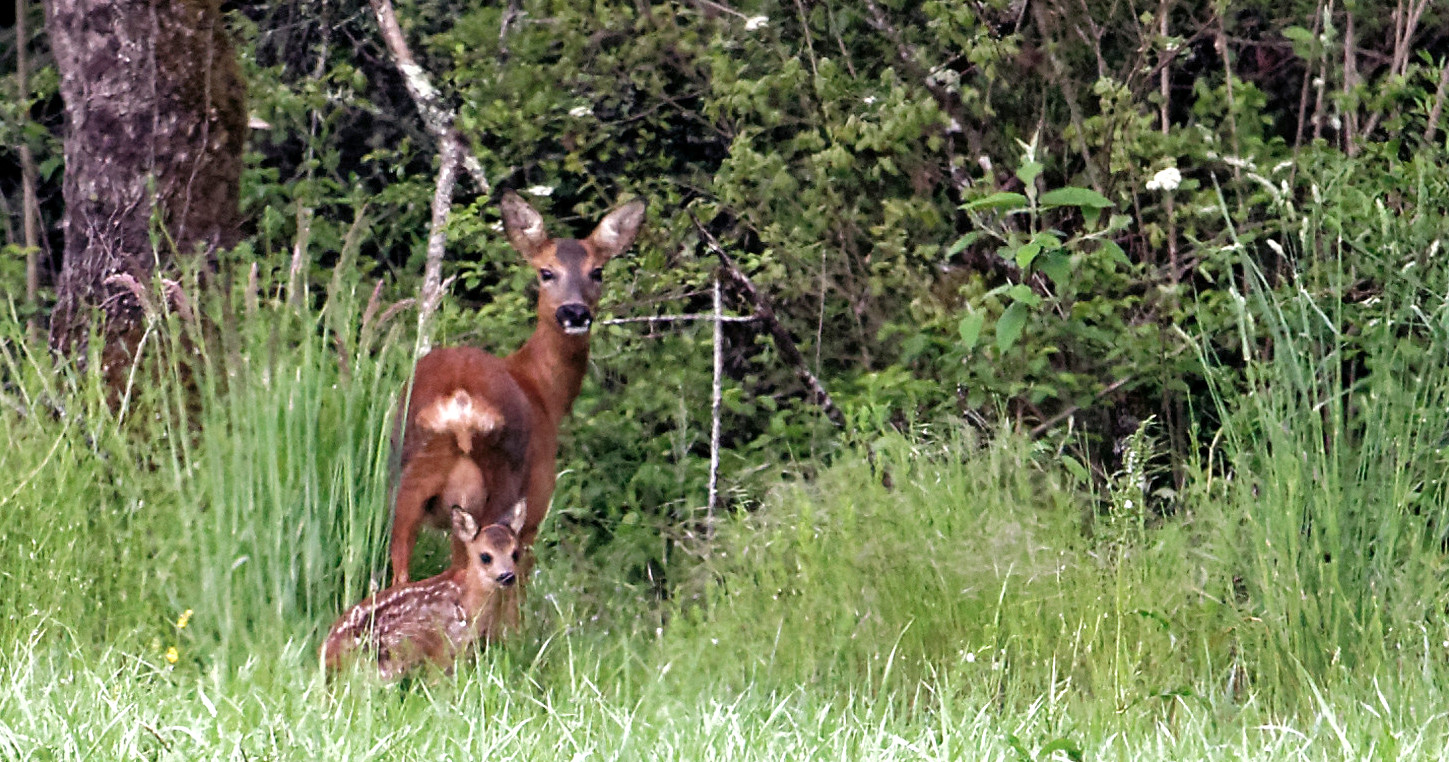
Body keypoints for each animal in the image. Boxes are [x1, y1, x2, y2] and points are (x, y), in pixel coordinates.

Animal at [394, 189, 649, 585]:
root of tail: (459, 405)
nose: (575, 312)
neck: (543, 390)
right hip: (492, 491)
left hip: (406, 488)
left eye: (597, 271)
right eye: (546, 272)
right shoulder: (535, 507)